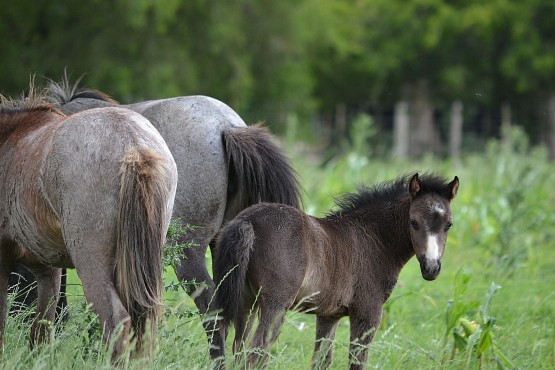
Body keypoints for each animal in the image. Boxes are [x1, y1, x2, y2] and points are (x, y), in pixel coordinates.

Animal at [213, 174, 460, 370]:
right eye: (414, 222)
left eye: (449, 224)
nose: (431, 268)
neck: (373, 240)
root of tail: (248, 220)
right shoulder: (367, 314)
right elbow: (357, 363)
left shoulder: (328, 315)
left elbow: (322, 361)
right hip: (275, 304)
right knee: (255, 354)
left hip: (245, 302)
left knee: (237, 348)